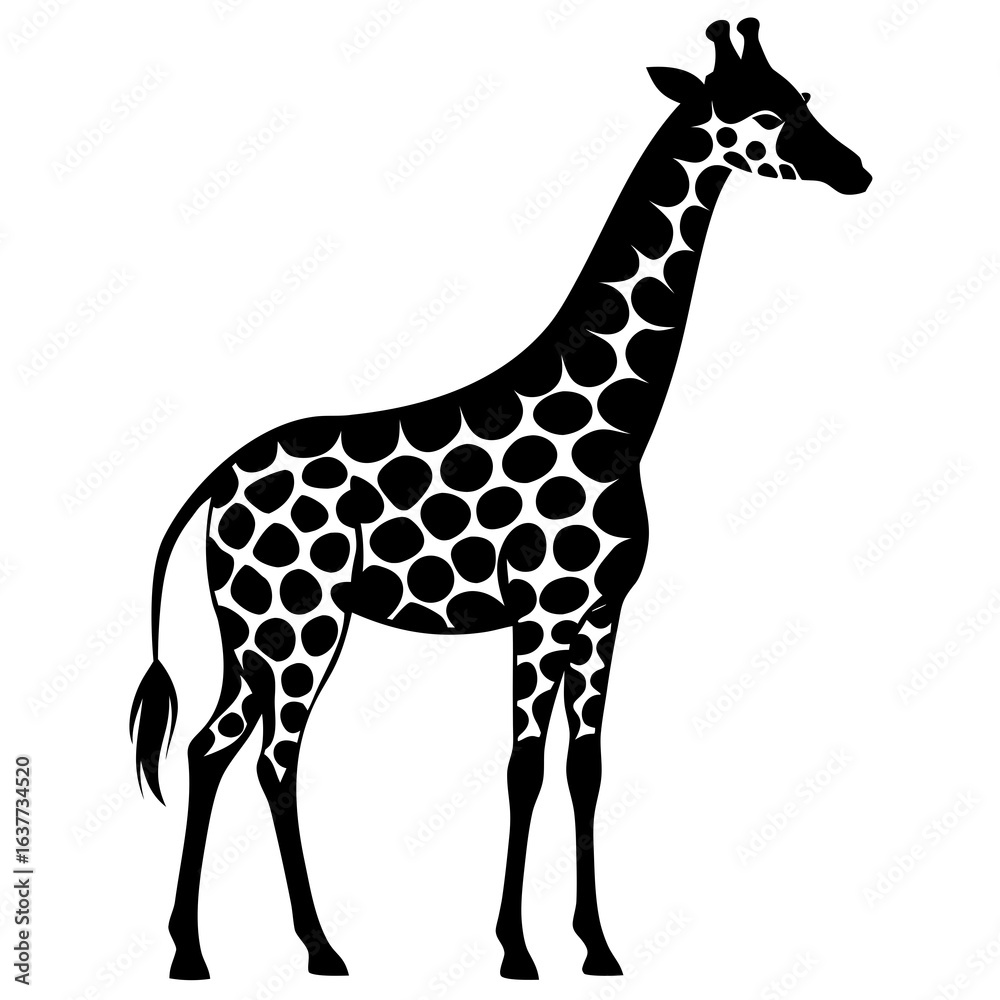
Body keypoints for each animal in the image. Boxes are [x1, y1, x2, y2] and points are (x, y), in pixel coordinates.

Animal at [130, 18, 870, 981]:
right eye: (760, 114)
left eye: (803, 97)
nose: (856, 170)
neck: (616, 420)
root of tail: (217, 482)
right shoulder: (543, 612)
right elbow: (523, 767)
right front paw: (517, 950)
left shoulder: (600, 613)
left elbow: (585, 766)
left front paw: (597, 947)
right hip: (300, 622)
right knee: (274, 759)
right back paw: (320, 948)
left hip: (249, 628)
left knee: (210, 746)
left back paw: (191, 951)